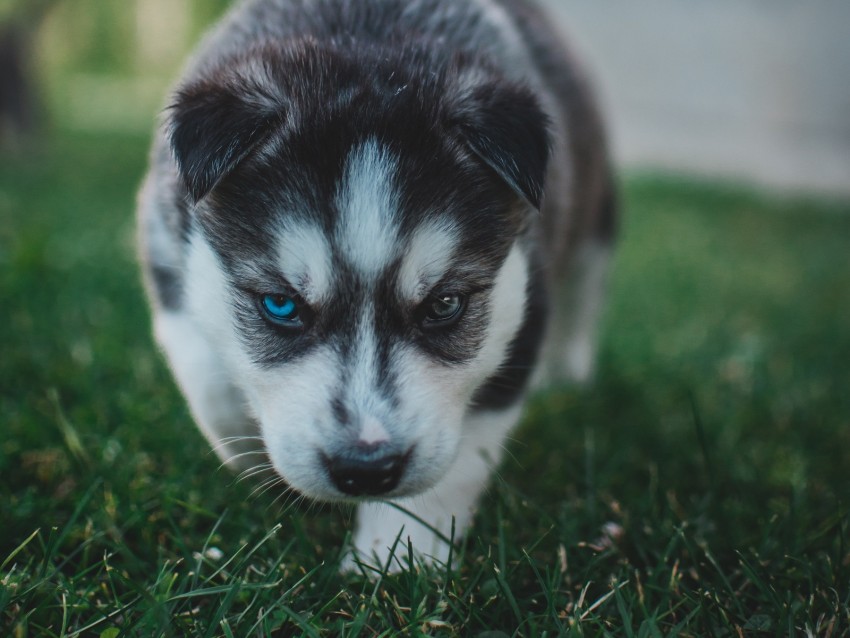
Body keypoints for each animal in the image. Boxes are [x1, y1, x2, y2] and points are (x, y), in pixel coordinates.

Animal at [139, 0, 616, 568]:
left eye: (444, 305)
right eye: (281, 305)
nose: (365, 470)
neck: (365, 33)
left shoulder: (522, 303)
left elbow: (453, 465)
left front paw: (395, 559)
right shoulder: (166, 247)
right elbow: (208, 377)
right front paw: (246, 449)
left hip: (596, 216)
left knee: (584, 291)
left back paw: (567, 372)